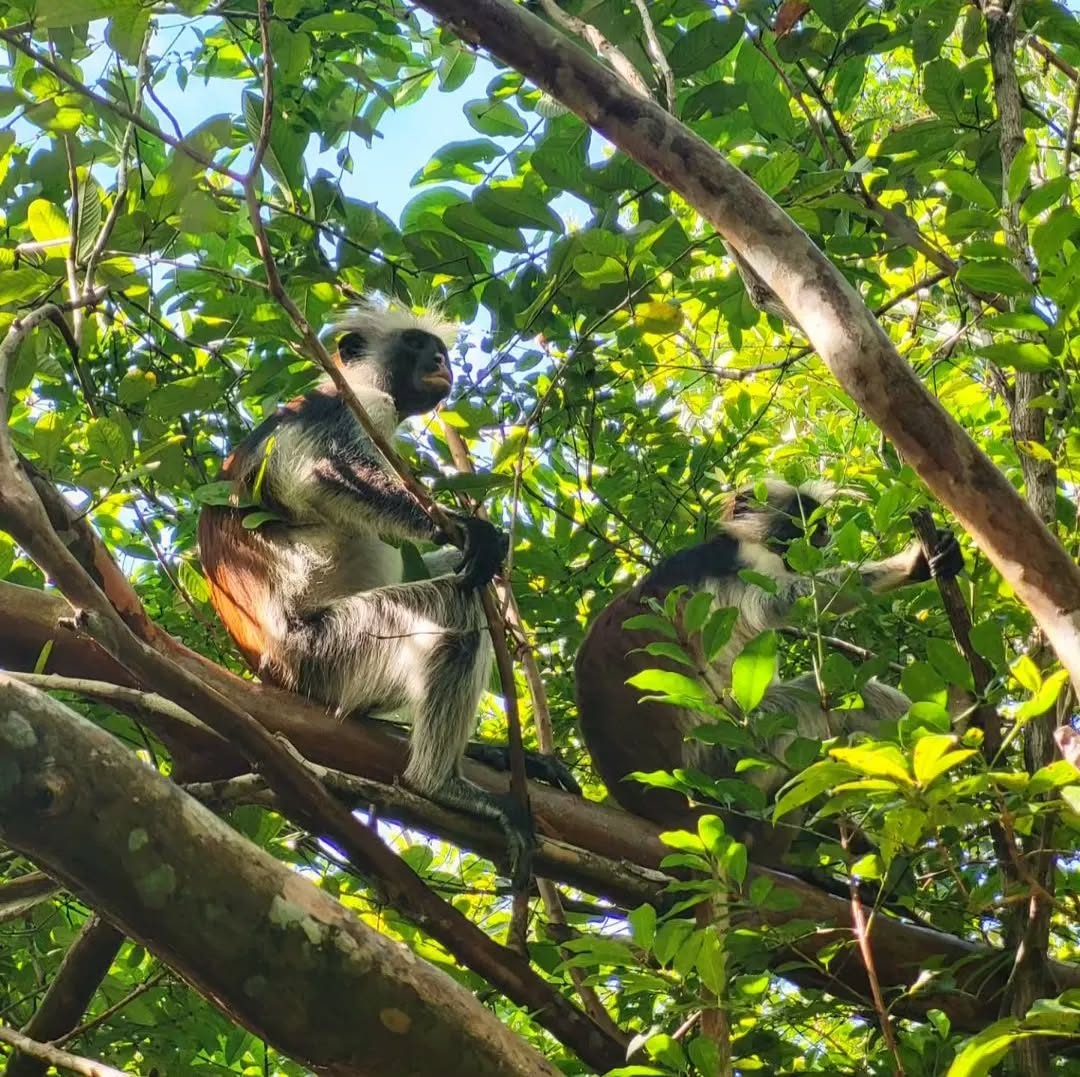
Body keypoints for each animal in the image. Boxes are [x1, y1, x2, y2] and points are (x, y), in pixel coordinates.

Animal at [197, 304, 565, 884]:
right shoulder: (356, 407)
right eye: (416, 345)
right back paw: (438, 784)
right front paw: (471, 528)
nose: (440, 363)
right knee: (458, 611)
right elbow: (323, 475)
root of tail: (268, 671)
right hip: (327, 651)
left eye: (439, 349)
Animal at [574, 479, 964, 866]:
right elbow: (785, 600)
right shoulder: (740, 564)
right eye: (802, 515)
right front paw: (912, 563)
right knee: (834, 695)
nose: (824, 531)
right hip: (731, 757)